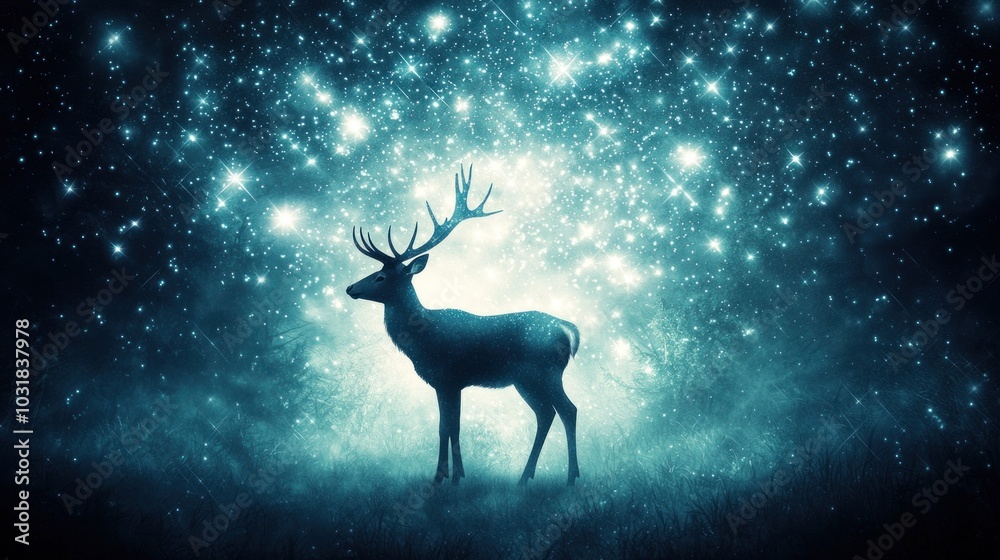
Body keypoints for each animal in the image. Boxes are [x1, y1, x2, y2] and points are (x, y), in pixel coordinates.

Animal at [346, 164, 581, 486]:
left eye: (380, 277)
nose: (350, 287)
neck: (423, 340)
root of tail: (566, 328)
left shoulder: (449, 377)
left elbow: (448, 427)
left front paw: (446, 478)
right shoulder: (445, 382)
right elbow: (448, 426)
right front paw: (452, 475)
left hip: (545, 372)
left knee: (568, 410)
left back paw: (571, 478)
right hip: (526, 379)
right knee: (545, 414)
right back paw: (526, 477)